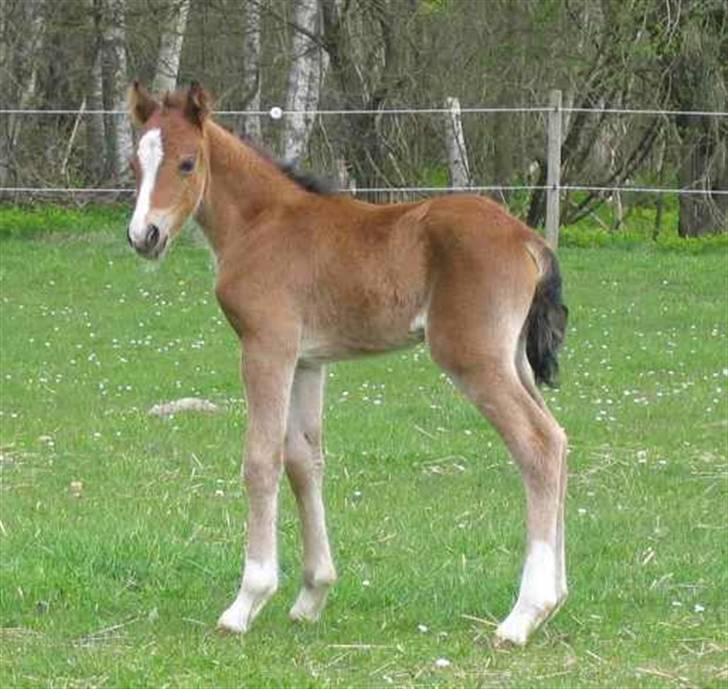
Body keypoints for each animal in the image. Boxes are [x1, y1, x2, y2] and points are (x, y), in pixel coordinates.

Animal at [125, 83, 568, 648]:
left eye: (187, 162)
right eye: (135, 163)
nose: (145, 236)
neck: (260, 223)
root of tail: (529, 240)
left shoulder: (266, 346)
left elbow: (261, 460)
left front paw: (246, 601)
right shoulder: (307, 360)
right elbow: (304, 461)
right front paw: (311, 595)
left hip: (472, 357)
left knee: (537, 446)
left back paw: (522, 616)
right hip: (514, 361)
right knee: (559, 439)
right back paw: (554, 600)